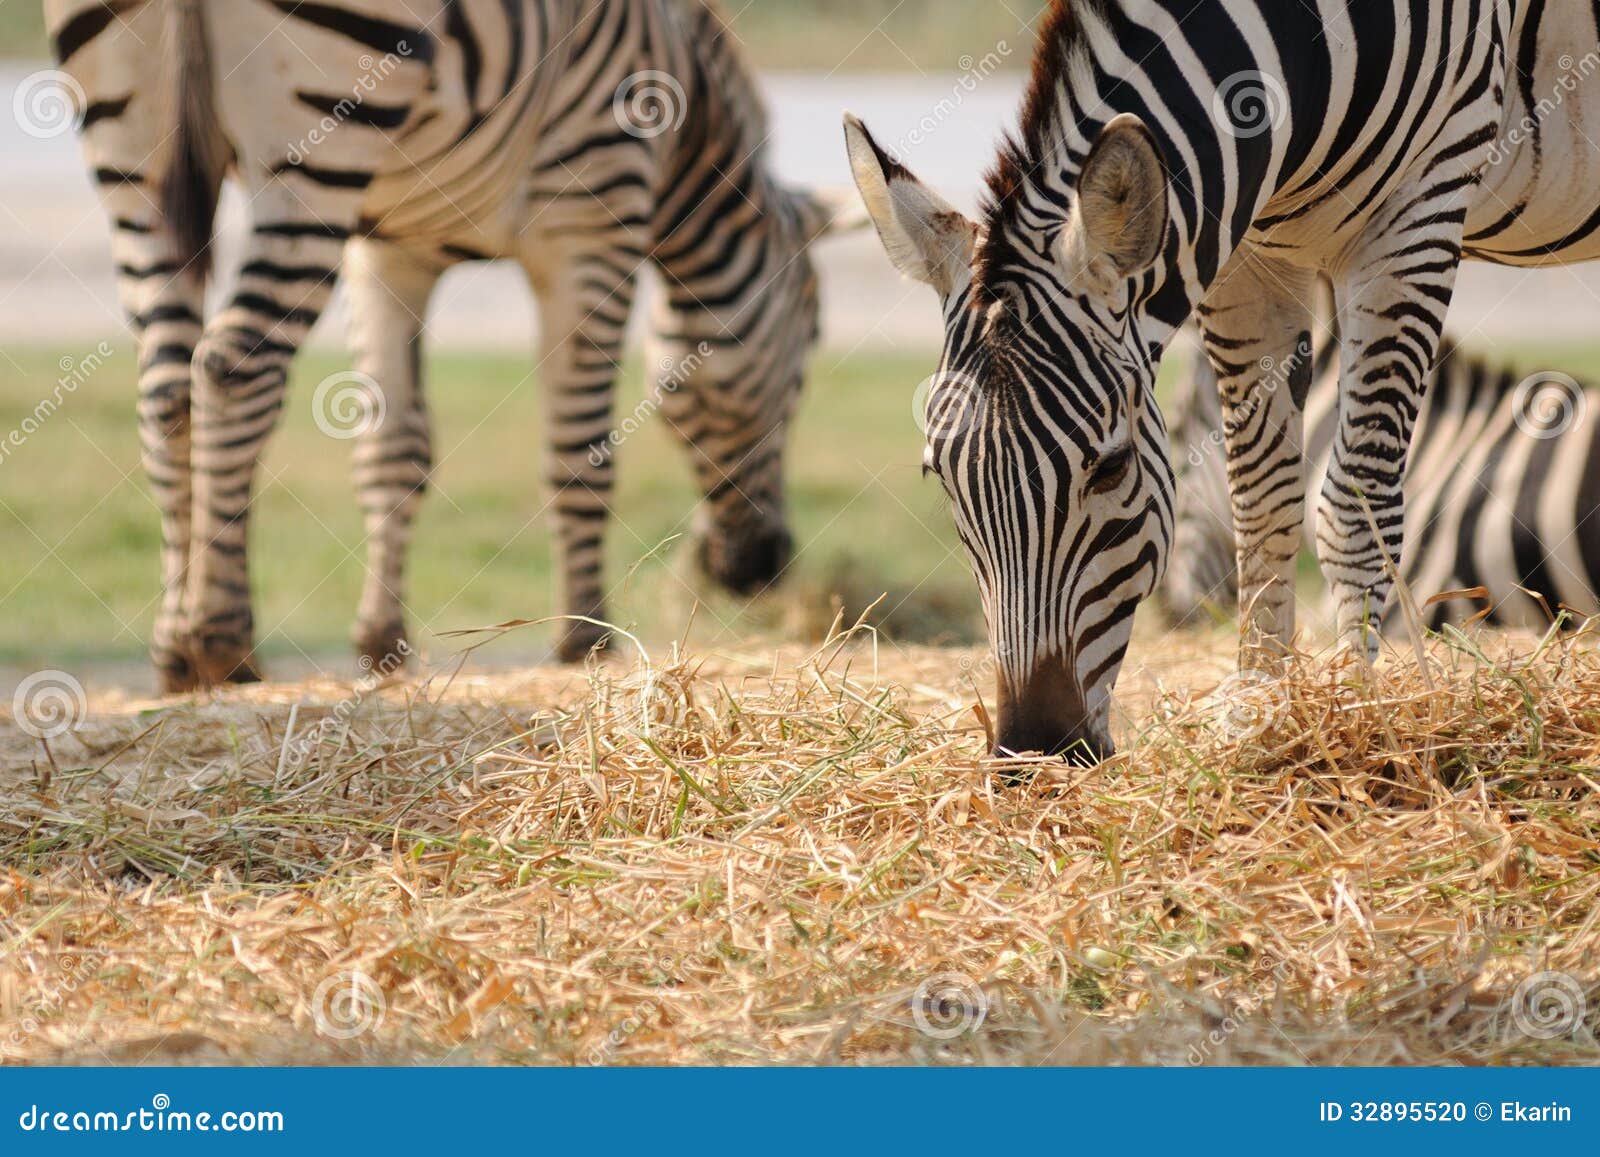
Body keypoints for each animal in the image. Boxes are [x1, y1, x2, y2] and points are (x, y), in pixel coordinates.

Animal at [48, 0, 857, 691]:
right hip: (320, 129)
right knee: (231, 367)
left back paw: (176, 649)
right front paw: (587, 639)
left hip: (138, 158)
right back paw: (221, 640)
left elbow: (393, 451)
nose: (761, 570)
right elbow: (582, 451)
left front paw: (383, 644)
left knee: (167, 386)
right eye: (810, 350)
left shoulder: (390, 245)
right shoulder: (595, 214)